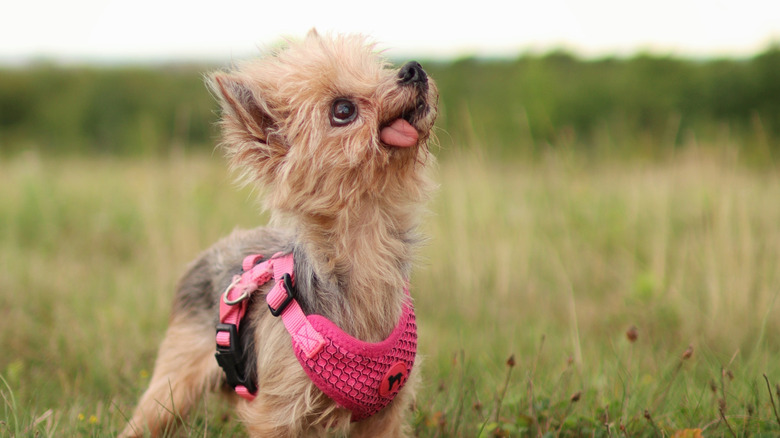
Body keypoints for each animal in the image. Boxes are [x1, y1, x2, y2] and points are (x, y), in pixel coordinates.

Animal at [122, 29, 438, 436]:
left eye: (379, 71)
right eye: (343, 110)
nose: (413, 69)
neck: (368, 245)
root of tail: (218, 248)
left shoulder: (386, 414)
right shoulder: (277, 413)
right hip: (172, 384)